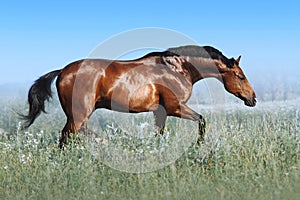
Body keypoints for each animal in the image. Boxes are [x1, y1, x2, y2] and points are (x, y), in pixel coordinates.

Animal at [20, 45, 255, 148]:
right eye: (240, 76)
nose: (253, 99)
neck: (178, 68)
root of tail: (62, 71)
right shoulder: (175, 108)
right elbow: (202, 120)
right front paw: (198, 145)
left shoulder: (161, 111)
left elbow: (159, 134)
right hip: (79, 113)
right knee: (69, 134)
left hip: (79, 113)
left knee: (76, 133)